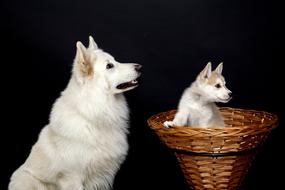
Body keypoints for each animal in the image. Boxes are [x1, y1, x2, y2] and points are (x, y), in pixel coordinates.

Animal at [8, 36, 141, 190]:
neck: (92, 113)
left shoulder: (103, 177)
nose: (139, 67)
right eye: (109, 66)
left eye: (115, 60)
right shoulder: (73, 178)